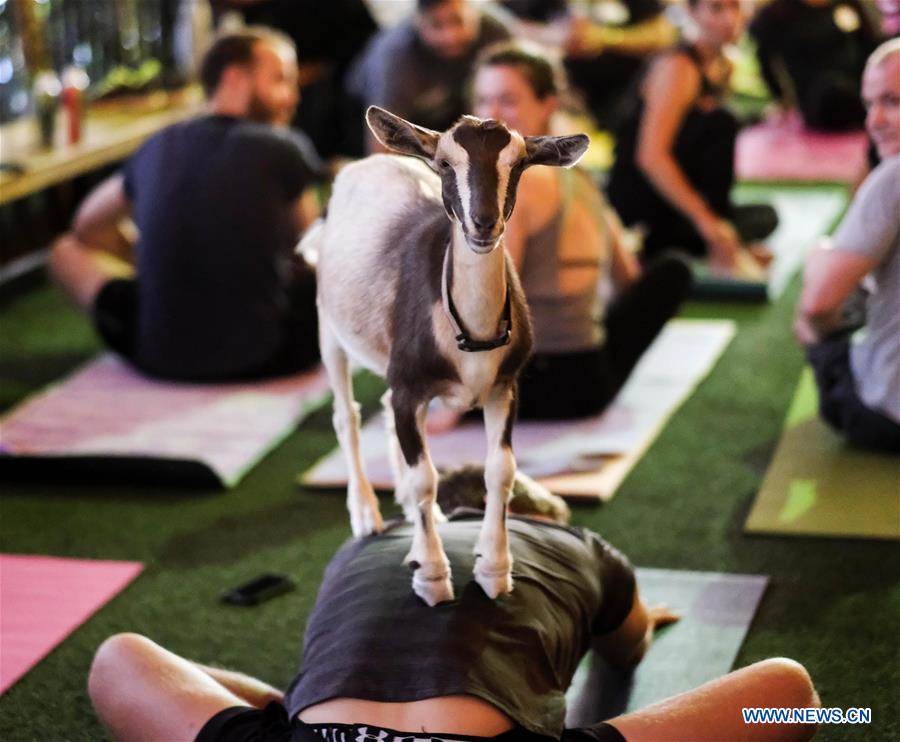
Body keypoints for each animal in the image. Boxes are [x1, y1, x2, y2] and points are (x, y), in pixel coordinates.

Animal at [309, 106, 588, 606]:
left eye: (519, 163)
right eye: (443, 163)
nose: (483, 223)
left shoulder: (503, 388)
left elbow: (501, 471)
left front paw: (494, 569)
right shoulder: (410, 388)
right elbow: (426, 477)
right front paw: (433, 577)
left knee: (382, 411)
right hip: (329, 327)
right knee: (348, 416)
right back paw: (366, 515)